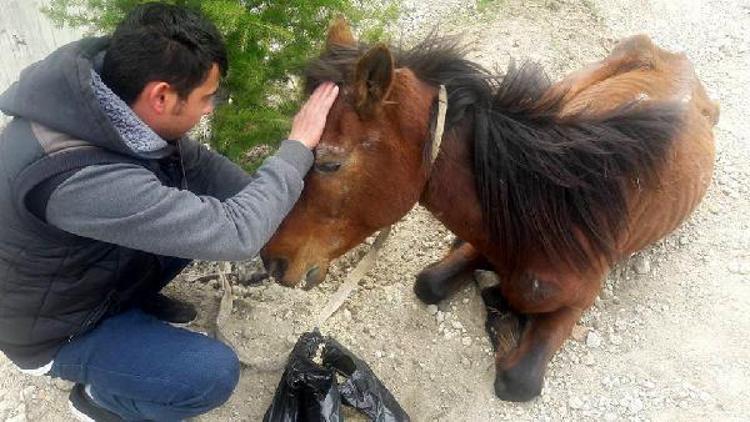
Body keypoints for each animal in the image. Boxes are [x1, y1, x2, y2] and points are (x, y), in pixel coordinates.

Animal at [262, 19, 720, 402]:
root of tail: (676, 59)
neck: (549, 214)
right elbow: (430, 283)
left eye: (329, 163)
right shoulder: (484, 243)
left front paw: (500, 313)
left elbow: (517, 380)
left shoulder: (578, 301)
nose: (271, 260)